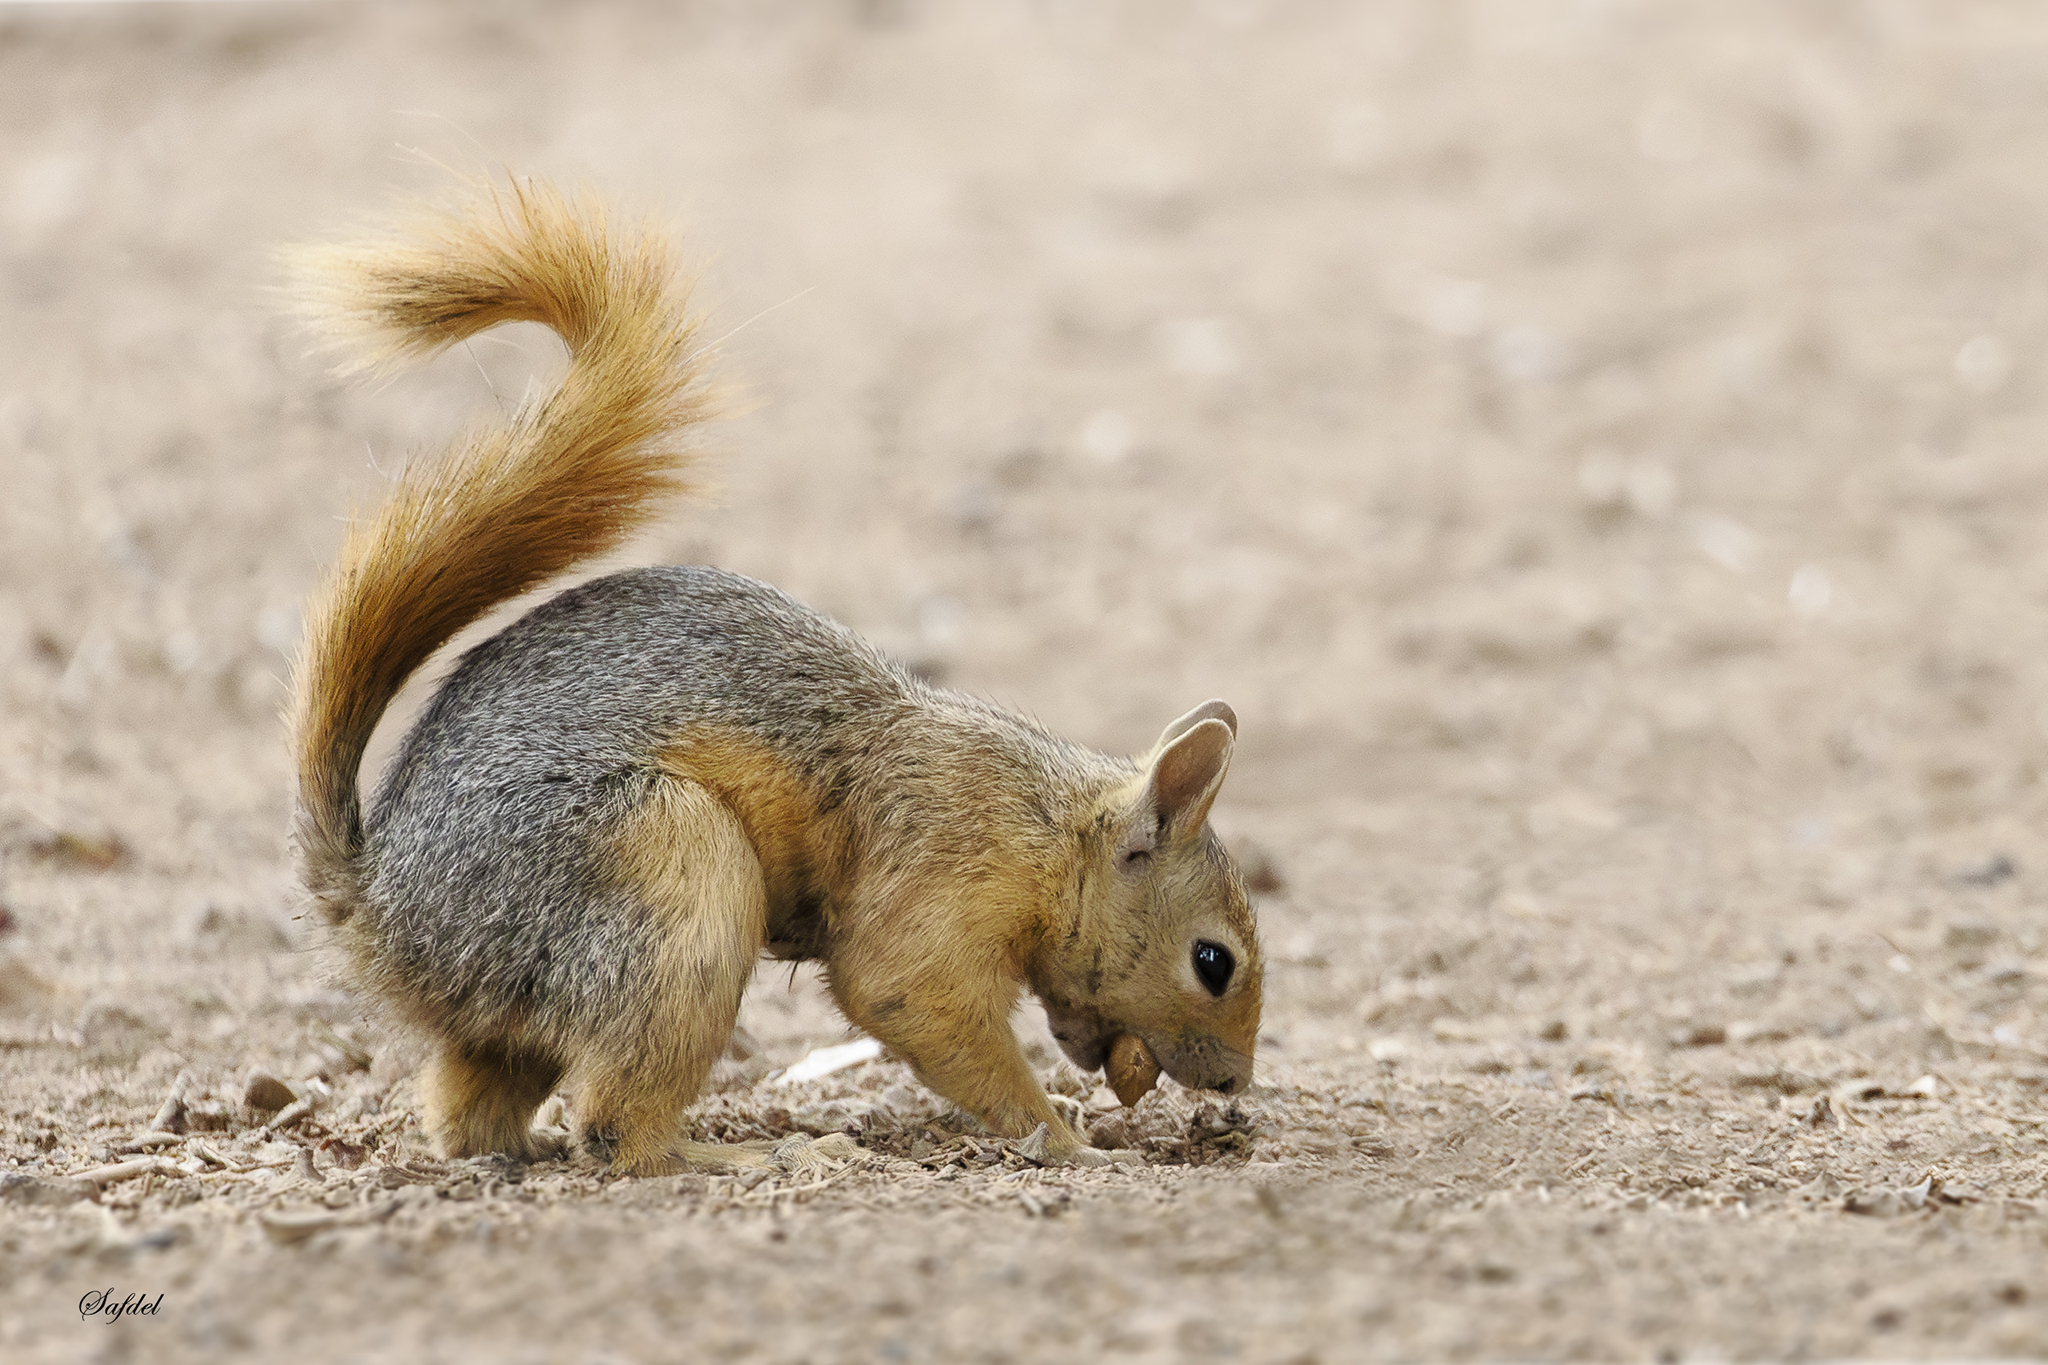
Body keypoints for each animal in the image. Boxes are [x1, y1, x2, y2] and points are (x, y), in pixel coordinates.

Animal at [287, 178, 1263, 1174]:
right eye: (1212, 960)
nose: (1235, 1083)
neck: (1049, 830)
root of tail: (378, 904)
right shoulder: (941, 886)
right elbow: (913, 999)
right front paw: (1072, 1142)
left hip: (521, 992)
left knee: (469, 1108)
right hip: (671, 871)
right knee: (613, 1131)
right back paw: (745, 1155)